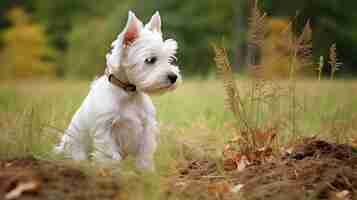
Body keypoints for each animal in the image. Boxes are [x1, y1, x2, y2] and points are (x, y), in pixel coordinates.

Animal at [55, 10, 181, 170]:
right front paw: (112, 171)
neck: (129, 92)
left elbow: (145, 153)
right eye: (150, 60)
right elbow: (110, 155)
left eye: (170, 58)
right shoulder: (105, 130)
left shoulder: (147, 127)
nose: (173, 77)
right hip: (73, 146)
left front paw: (146, 171)